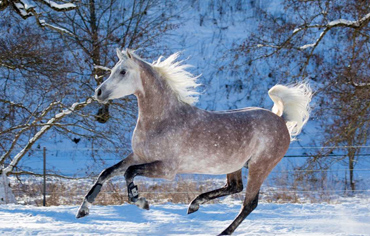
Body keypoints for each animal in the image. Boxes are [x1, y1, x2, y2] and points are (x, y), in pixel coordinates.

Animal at [76, 49, 312, 234]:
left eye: (123, 71)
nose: (98, 92)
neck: (163, 120)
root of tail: (281, 120)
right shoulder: (138, 156)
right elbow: (107, 172)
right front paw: (83, 210)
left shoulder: (167, 169)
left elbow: (128, 173)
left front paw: (142, 202)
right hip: (234, 165)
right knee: (234, 187)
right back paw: (194, 205)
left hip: (260, 166)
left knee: (249, 203)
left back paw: (221, 231)